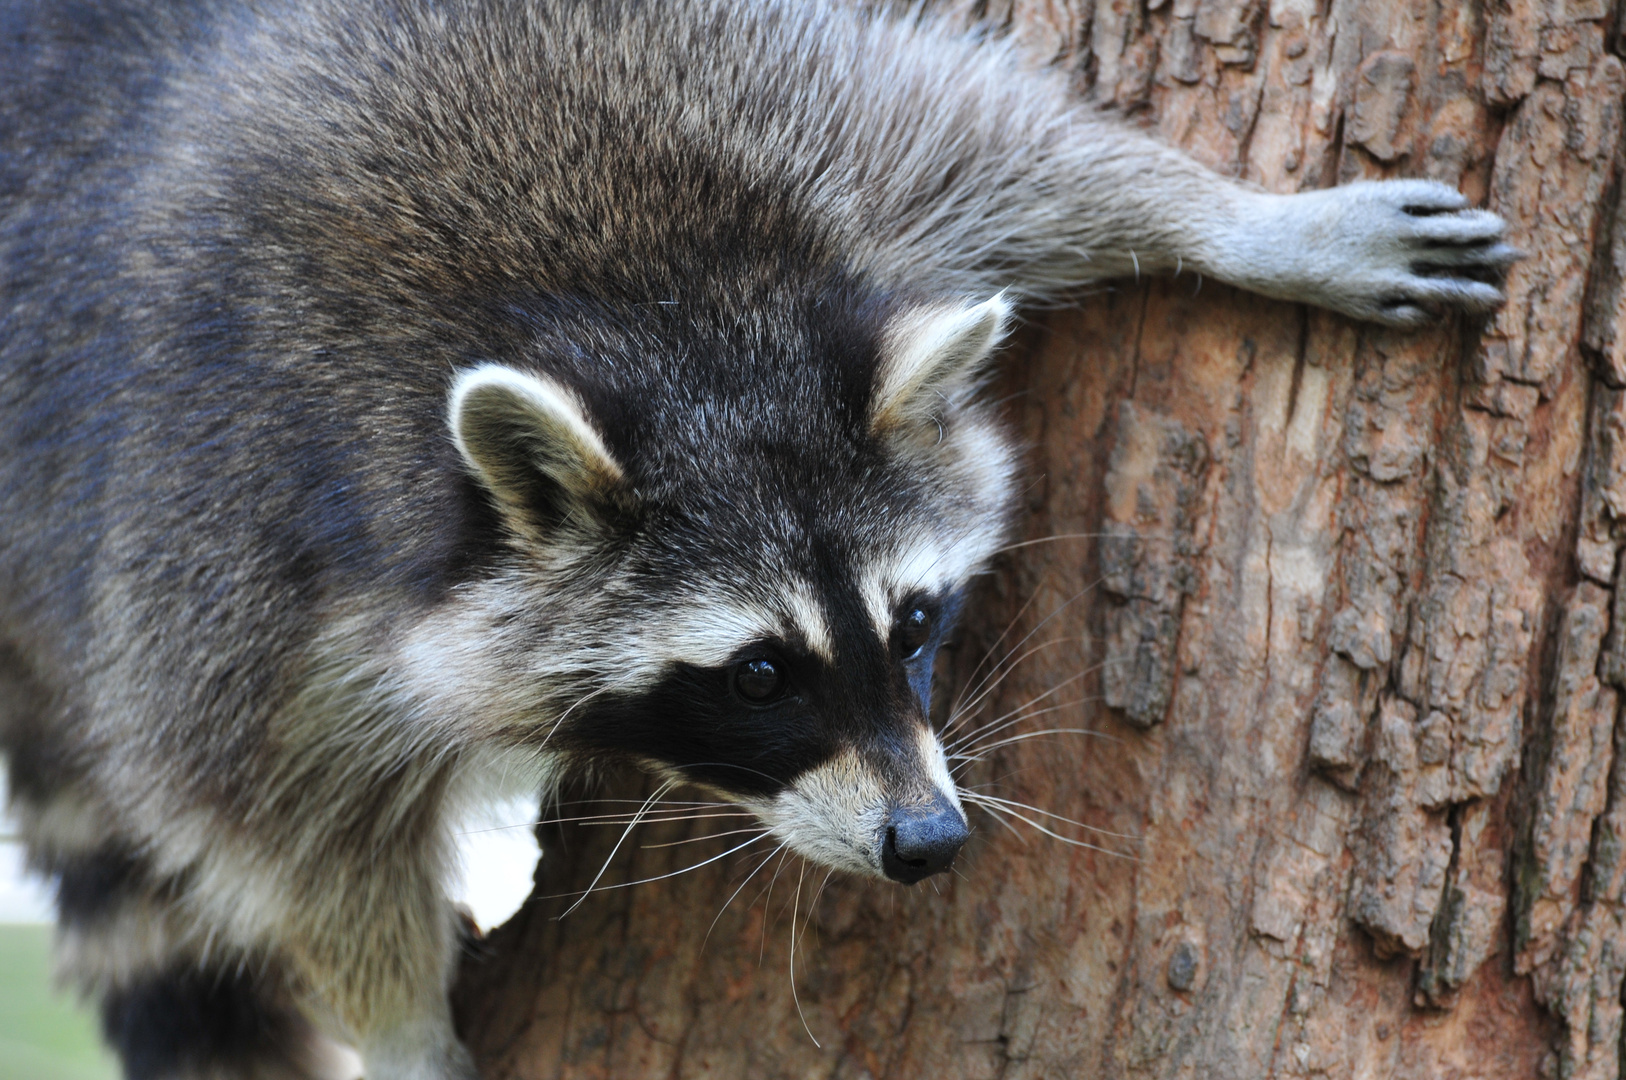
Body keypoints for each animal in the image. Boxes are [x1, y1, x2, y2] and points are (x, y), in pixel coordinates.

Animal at [3, 0, 1521, 1073]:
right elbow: (270, 816)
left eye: (916, 623)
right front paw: (400, 1026)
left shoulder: (774, 132)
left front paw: (1233, 220)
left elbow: (998, 140)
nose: (928, 840)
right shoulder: (220, 525)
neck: (663, 340)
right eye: (757, 675)